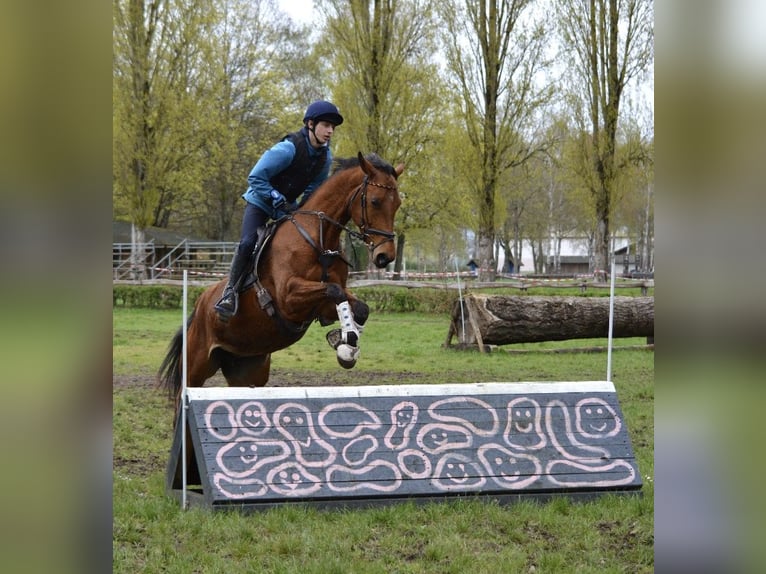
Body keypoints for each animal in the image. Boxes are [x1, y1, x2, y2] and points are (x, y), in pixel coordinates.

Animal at [158, 152, 404, 410]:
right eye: (375, 201)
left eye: (398, 203)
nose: (385, 256)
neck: (319, 238)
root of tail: (197, 309)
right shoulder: (289, 300)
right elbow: (334, 291)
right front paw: (346, 344)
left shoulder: (321, 306)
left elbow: (358, 306)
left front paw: (345, 340)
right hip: (196, 366)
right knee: (182, 397)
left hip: (247, 368)